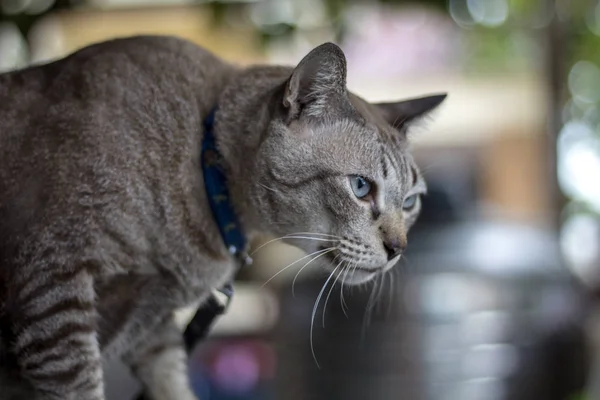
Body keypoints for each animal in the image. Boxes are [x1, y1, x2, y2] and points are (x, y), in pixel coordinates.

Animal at [0, 35, 446, 400]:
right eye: (360, 187)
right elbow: (82, 386)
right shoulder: (55, 300)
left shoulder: (153, 329)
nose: (398, 249)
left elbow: (173, 385)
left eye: (410, 203)